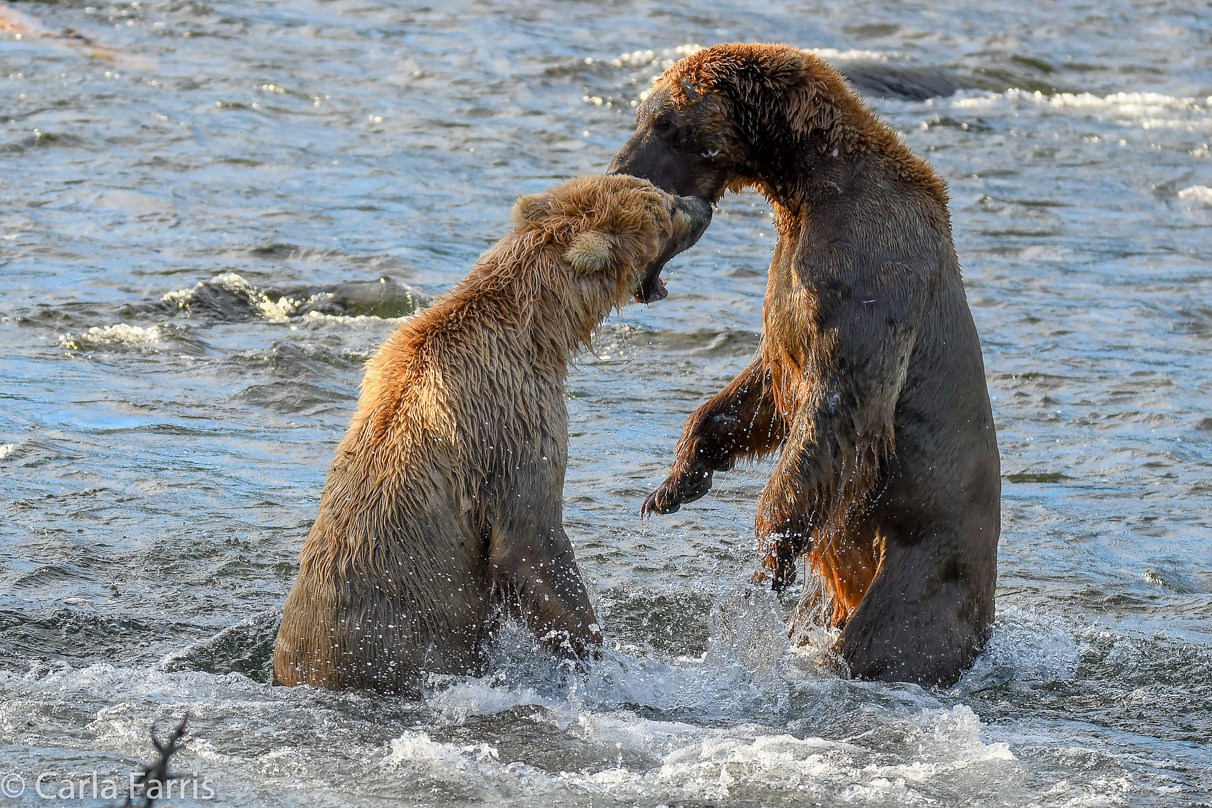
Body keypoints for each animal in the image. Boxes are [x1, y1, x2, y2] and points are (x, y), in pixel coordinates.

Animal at [275, 175, 707, 697]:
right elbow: (533, 541)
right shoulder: (513, 423)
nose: (703, 205)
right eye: (665, 211)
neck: (539, 332)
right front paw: (595, 658)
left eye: (659, 192)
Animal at [610, 44, 998, 688]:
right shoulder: (791, 298)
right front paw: (672, 486)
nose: (621, 170)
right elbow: (762, 388)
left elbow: (834, 417)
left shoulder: (866, 278)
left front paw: (770, 559)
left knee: (893, 636)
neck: (807, 187)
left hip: (923, 569)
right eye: (643, 113)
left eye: (664, 121)